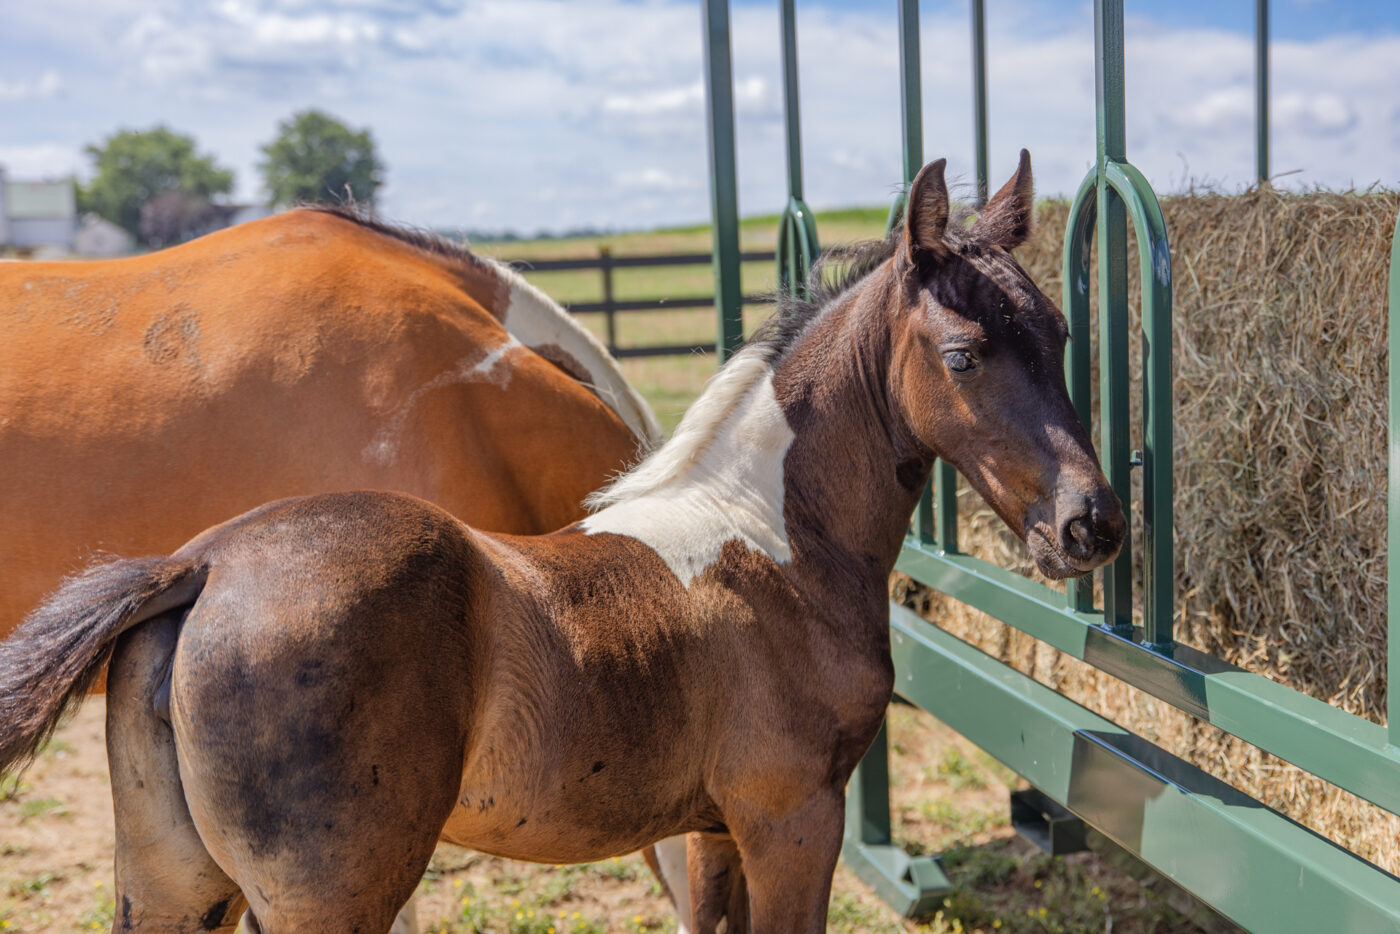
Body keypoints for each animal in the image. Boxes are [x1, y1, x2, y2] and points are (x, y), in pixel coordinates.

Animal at [0, 149, 1120, 929]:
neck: (768, 541)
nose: (1091, 523)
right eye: (964, 355)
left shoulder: (708, 831)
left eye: (1063, 336)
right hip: (326, 896)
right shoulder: (792, 817)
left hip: (173, 880)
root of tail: (201, 567)